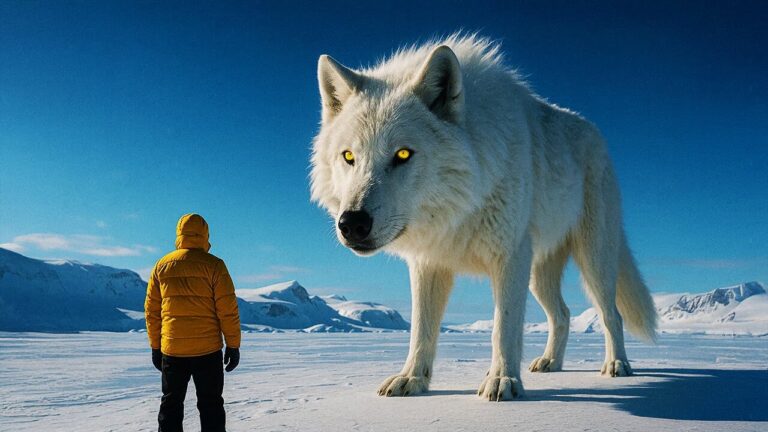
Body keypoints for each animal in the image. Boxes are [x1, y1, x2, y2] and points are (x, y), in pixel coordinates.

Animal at [310, 34, 657, 401]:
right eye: (349, 156)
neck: (462, 205)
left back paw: (617, 365)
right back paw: (550, 363)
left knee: (611, 314)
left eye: (403, 154)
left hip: (593, 262)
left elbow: (503, 328)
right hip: (538, 274)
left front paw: (503, 381)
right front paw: (412, 379)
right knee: (562, 314)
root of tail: (597, 135)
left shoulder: (509, 259)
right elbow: (421, 330)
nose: (352, 224)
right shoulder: (428, 263)